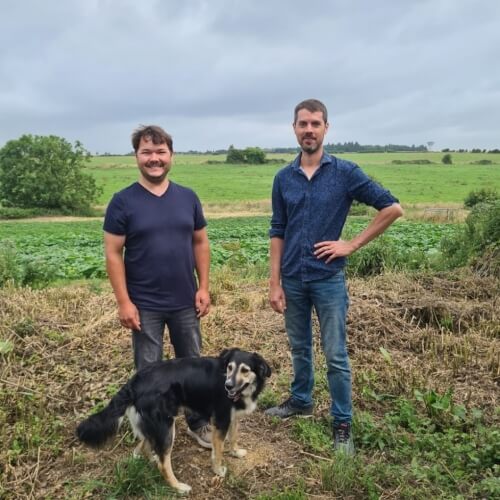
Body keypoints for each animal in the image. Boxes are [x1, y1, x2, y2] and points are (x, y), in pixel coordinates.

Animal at [76, 350, 272, 494]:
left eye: (245, 370)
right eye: (230, 368)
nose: (228, 386)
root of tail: (135, 381)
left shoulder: (232, 418)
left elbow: (234, 438)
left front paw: (236, 452)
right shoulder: (221, 420)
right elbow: (218, 451)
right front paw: (218, 470)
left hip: (154, 425)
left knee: (145, 447)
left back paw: (153, 458)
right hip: (166, 427)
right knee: (163, 464)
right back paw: (178, 487)